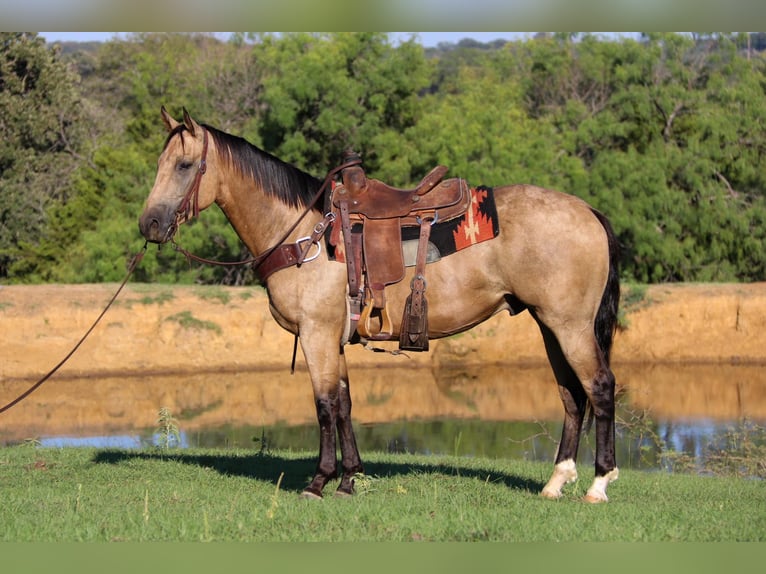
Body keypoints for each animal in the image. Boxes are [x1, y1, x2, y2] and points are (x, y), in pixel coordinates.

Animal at [140, 108, 624, 504]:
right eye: (160, 164)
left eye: (184, 165)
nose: (150, 224)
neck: (303, 233)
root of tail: (589, 211)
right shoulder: (333, 338)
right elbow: (344, 402)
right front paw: (350, 478)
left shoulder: (316, 335)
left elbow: (324, 404)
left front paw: (319, 481)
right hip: (550, 325)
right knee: (571, 395)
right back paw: (556, 481)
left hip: (571, 326)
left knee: (599, 386)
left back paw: (599, 484)